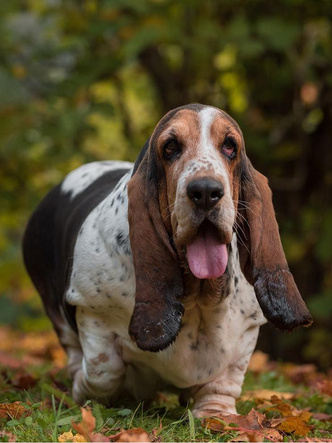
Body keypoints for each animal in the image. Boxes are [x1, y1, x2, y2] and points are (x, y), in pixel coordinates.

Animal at [22, 103, 312, 416]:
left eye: (230, 146)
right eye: (170, 146)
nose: (206, 191)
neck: (197, 296)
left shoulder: (247, 330)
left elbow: (225, 380)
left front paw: (216, 413)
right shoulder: (90, 309)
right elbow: (104, 370)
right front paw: (84, 390)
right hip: (53, 306)